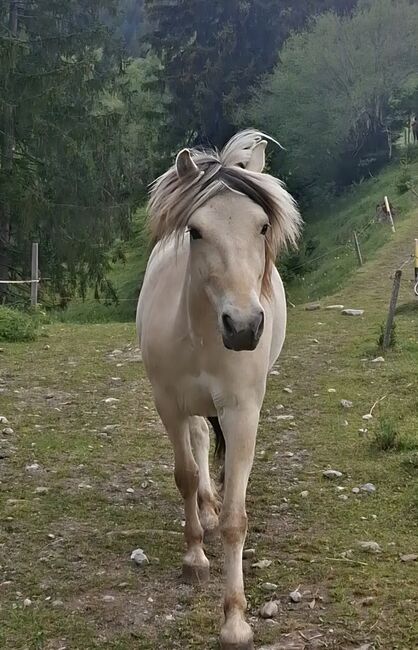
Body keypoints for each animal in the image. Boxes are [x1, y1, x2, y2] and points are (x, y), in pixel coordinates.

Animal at [137, 129, 302, 649]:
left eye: (263, 227)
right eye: (195, 231)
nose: (244, 326)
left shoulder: (243, 411)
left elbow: (235, 519)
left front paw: (235, 621)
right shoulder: (168, 404)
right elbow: (186, 476)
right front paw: (194, 559)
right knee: (198, 441)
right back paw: (204, 511)